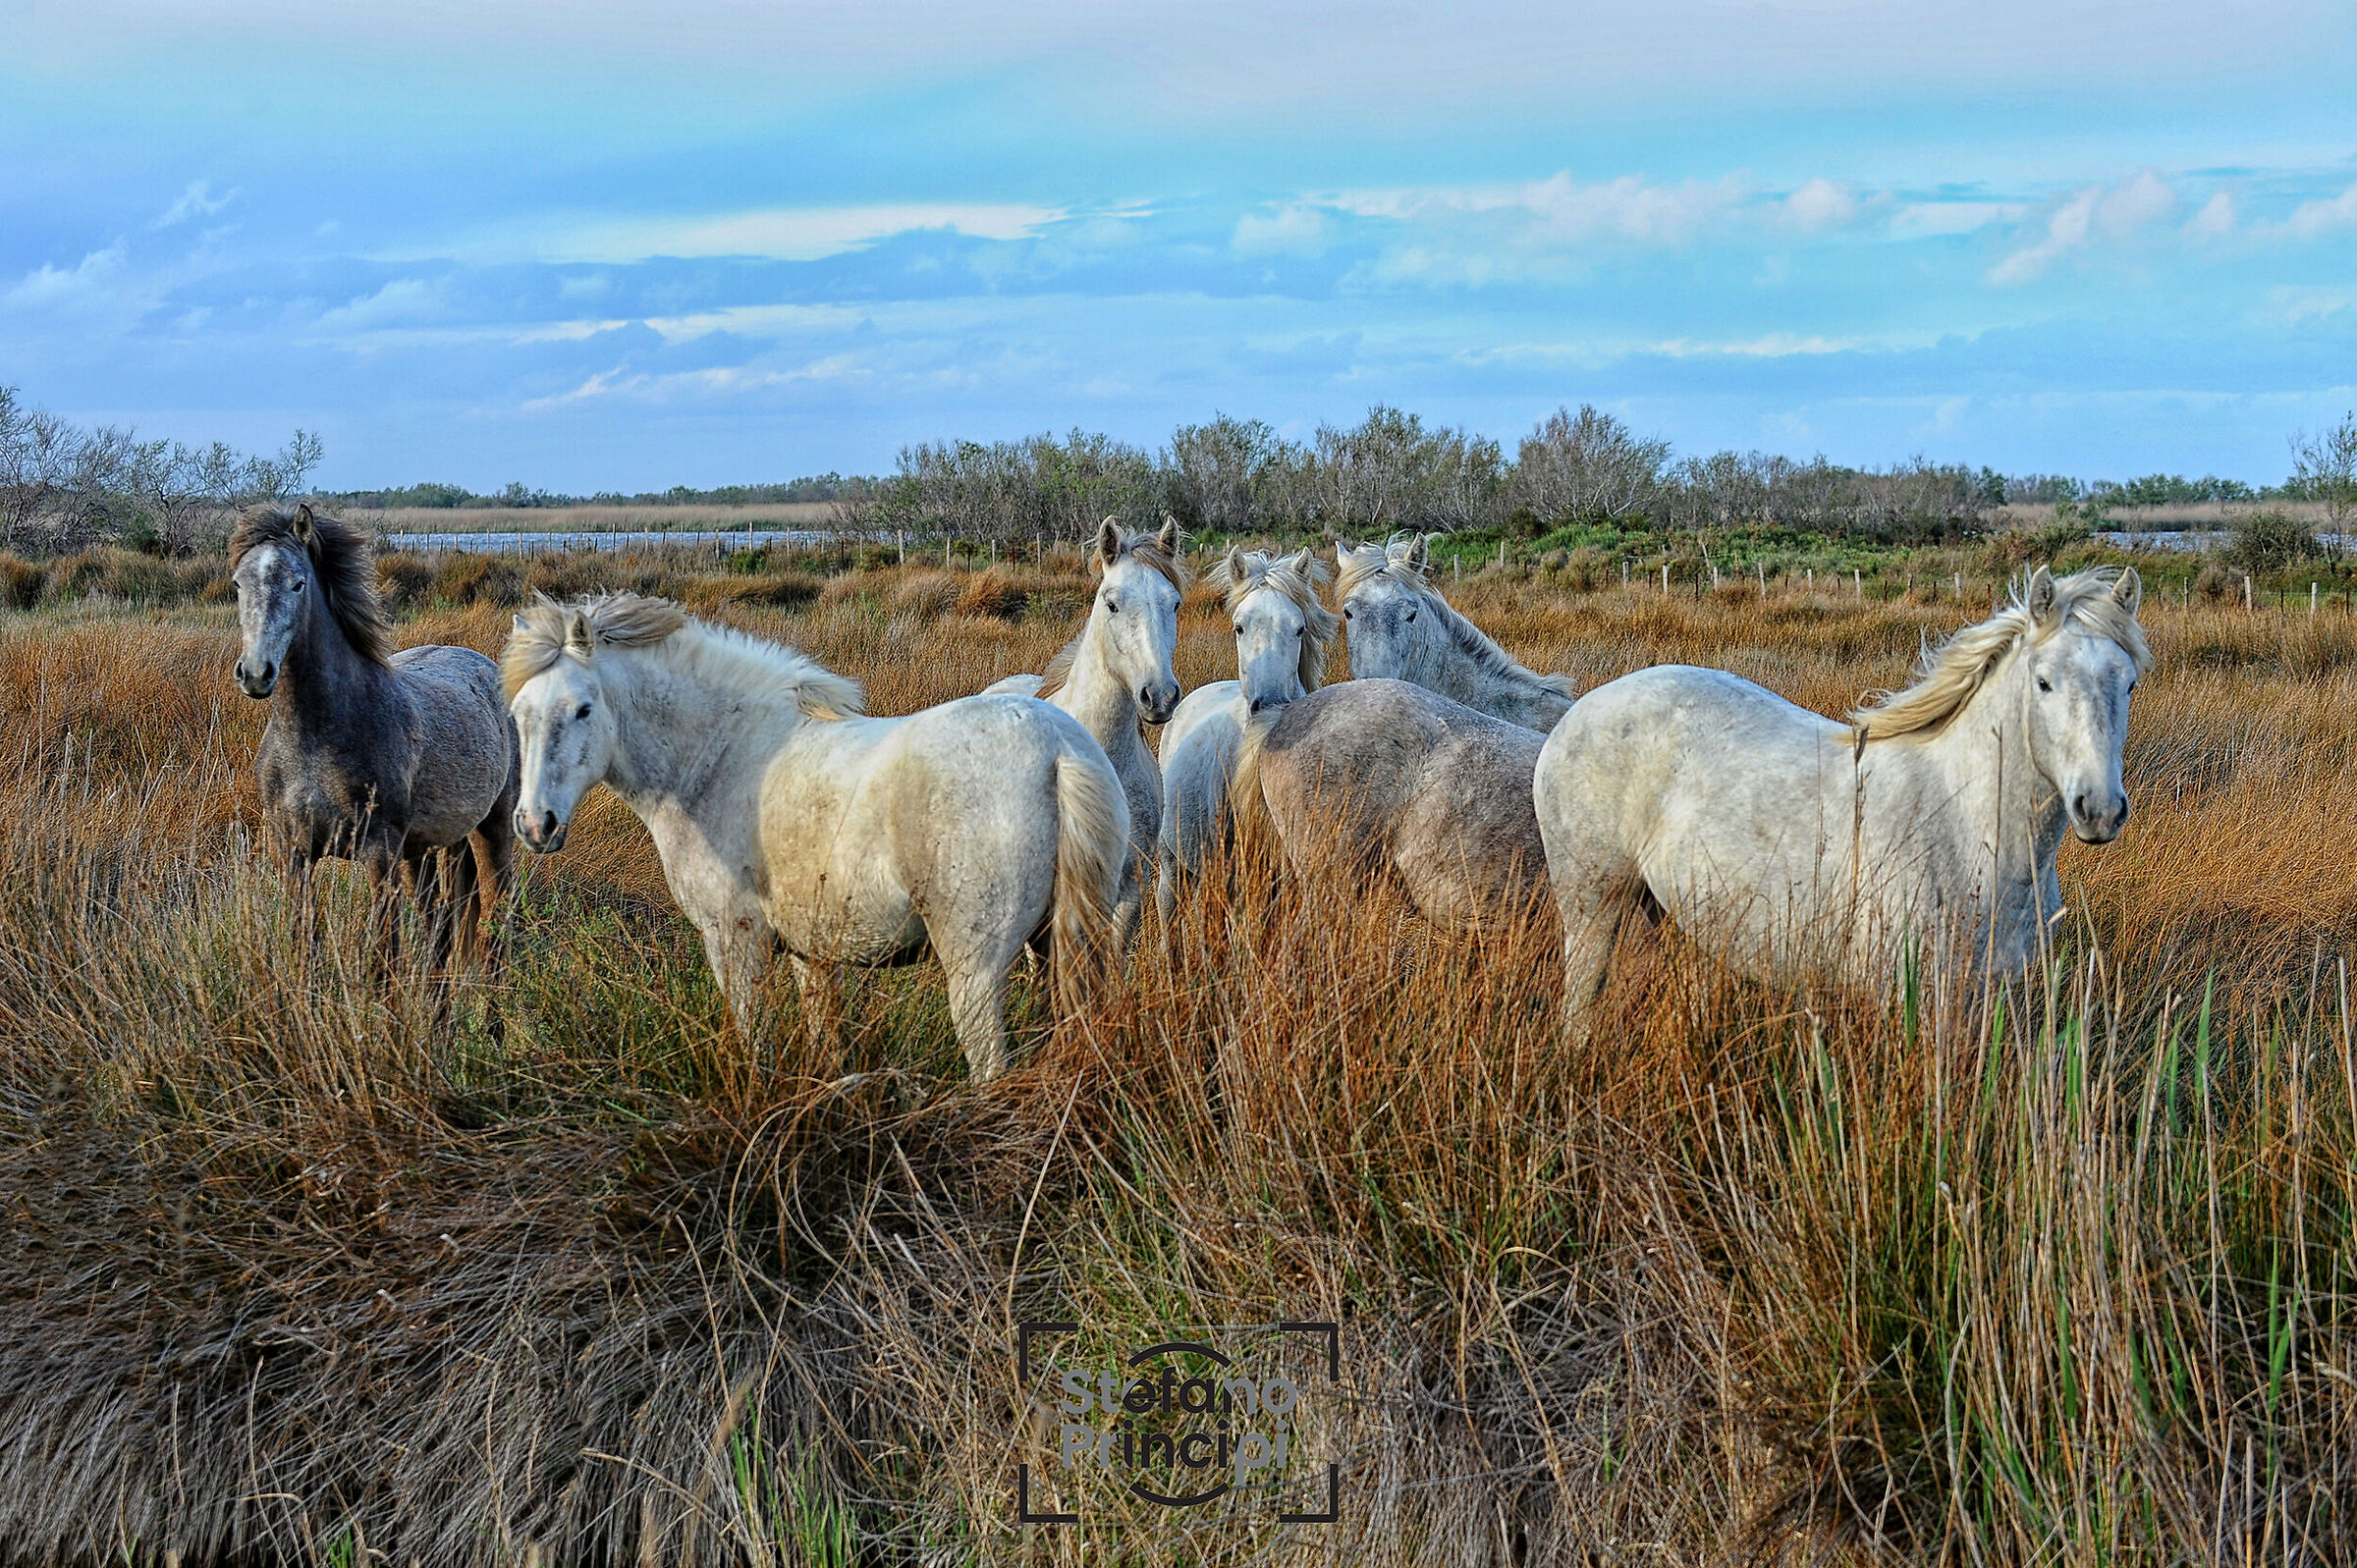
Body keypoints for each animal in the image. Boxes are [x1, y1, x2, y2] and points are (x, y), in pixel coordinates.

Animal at [229, 502, 517, 980]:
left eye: (297, 583)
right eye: (238, 583)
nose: (256, 673)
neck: (315, 742)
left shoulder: (379, 855)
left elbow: (385, 960)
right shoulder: (292, 853)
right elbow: (303, 952)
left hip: (491, 829)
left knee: (494, 921)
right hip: (426, 850)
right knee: (442, 922)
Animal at [504, 592, 1127, 1082]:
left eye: (583, 709)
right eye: (519, 714)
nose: (535, 825)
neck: (717, 756)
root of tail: (1056, 748)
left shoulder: (736, 942)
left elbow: (756, 1049)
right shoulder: (812, 952)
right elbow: (825, 1049)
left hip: (975, 968)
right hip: (1058, 947)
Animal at [1533, 565, 2148, 1043]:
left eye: (2129, 684)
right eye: (2044, 683)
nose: (2099, 809)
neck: (1967, 830)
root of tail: (1576, 713)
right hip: (1590, 909)